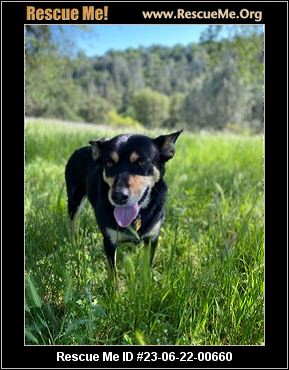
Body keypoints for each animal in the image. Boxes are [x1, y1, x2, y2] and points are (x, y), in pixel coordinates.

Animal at [65, 130, 182, 272]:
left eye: (141, 162)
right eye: (109, 164)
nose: (118, 196)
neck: (137, 217)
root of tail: (79, 149)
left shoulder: (152, 239)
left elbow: (146, 271)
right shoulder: (109, 242)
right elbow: (113, 274)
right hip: (74, 199)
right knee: (73, 223)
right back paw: (74, 244)